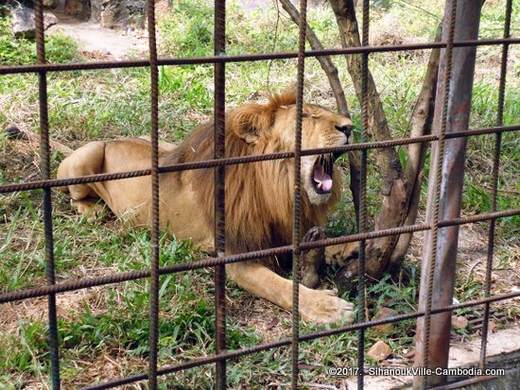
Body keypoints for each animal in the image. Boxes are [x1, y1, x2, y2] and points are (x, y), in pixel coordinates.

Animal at [57, 90, 358, 322]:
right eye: (306, 116)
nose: (349, 126)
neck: (278, 189)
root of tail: (112, 139)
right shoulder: (238, 256)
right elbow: (279, 286)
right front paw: (327, 307)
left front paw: (349, 247)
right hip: (87, 157)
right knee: (74, 195)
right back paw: (92, 211)